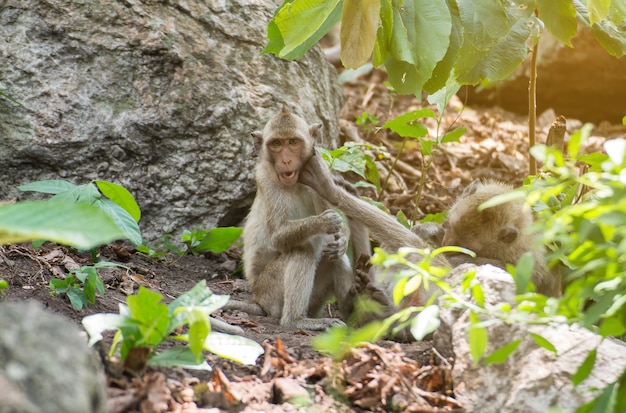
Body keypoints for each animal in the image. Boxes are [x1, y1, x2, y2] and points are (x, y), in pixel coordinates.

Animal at [239, 105, 366, 328]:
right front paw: (324, 222)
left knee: (334, 257)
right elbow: (278, 236)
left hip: (314, 299)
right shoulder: (265, 181)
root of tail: (257, 298)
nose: (286, 160)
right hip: (270, 290)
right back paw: (297, 320)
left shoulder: (316, 170)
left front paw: (342, 237)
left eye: (293, 142)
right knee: (302, 249)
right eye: (276, 144)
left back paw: (352, 313)